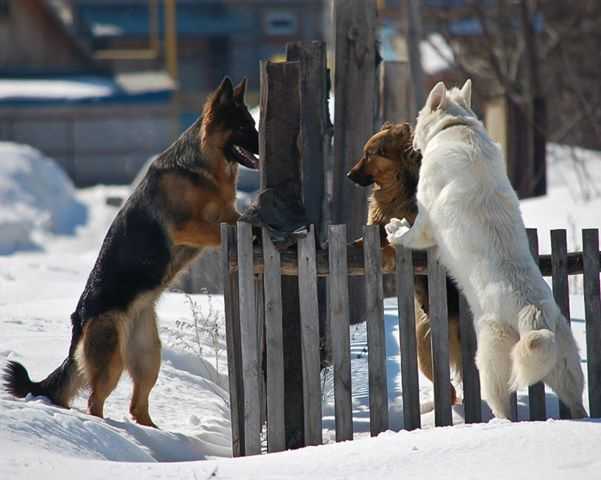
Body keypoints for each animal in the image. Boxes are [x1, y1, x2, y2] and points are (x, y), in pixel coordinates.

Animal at [346, 121, 460, 404]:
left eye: (369, 154)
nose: (348, 175)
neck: (396, 188)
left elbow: (392, 243)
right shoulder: (373, 229)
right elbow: (361, 241)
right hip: (423, 346)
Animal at [384, 80, 584, 418]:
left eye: (420, 114)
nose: (411, 135)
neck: (457, 126)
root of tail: (533, 314)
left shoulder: (425, 219)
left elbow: (410, 234)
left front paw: (395, 231)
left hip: (490, 360)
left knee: (502, 405)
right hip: (564, 362)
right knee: (578, 401)